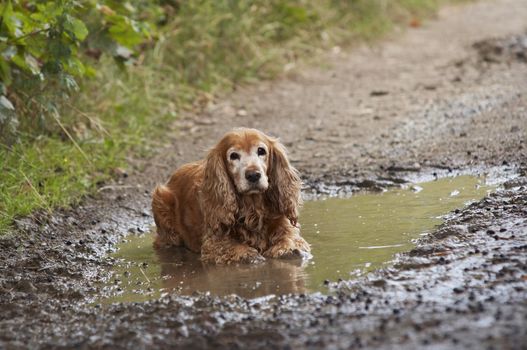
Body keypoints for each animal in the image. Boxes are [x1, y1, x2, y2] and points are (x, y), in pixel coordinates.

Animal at [151, 128, 312, 262]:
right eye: (234, 155)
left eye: (261, 151)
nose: (253, 175)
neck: (252, 208)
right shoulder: (214, 241)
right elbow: (234, 248)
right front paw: (249, 255)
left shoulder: (284, 225)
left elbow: (290, 238)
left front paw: (288, 249)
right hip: (160, 201)